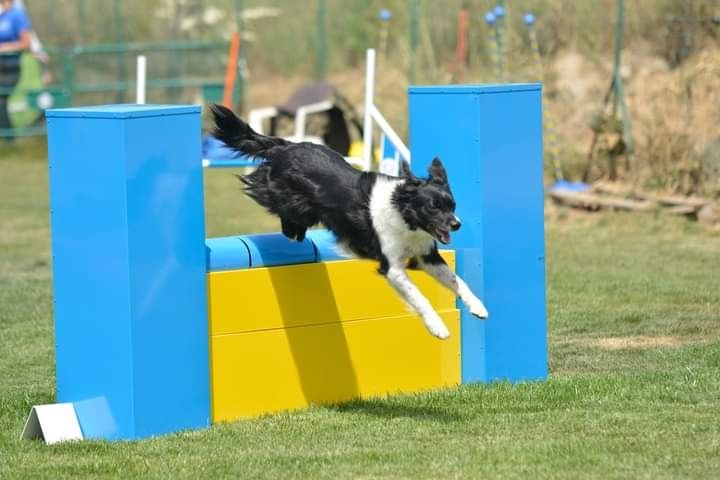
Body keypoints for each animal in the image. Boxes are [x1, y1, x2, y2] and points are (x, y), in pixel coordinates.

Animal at [211, 103, 486, 340]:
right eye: (433, 208)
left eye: (452, 206)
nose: (456, 224)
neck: (404, 214)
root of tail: (285, 146)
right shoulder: (393, 267)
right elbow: (419, 297)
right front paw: (438, 327)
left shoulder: (426, 256)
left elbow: (456, 280)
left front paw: (478, 307)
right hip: (292, 202)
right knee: (280, 211)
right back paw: (292, 231)